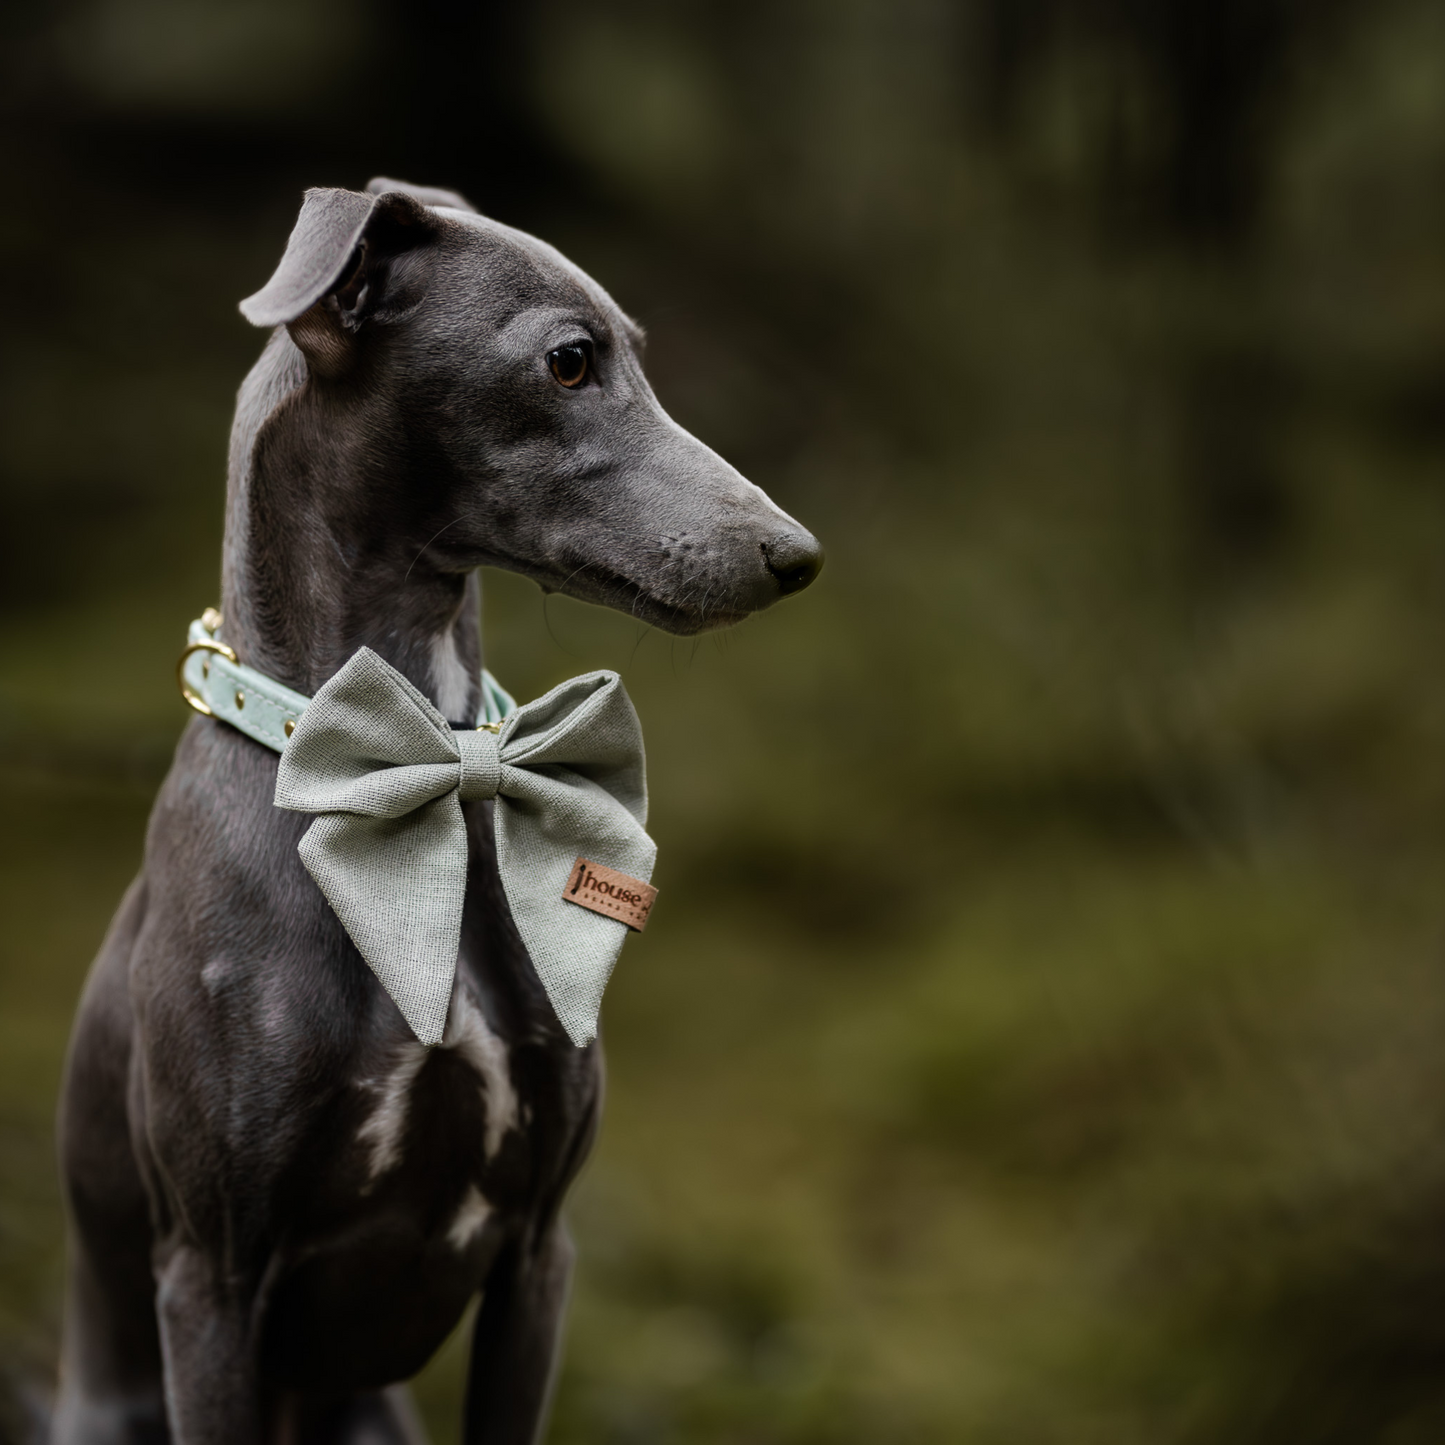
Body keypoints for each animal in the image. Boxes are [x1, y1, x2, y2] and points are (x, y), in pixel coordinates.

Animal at [53, 177, 826, 1445]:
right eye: (569, 359)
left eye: (634, 349)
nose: (795, 554)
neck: (424, 769)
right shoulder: (205, 1277)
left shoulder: (537, 1252)